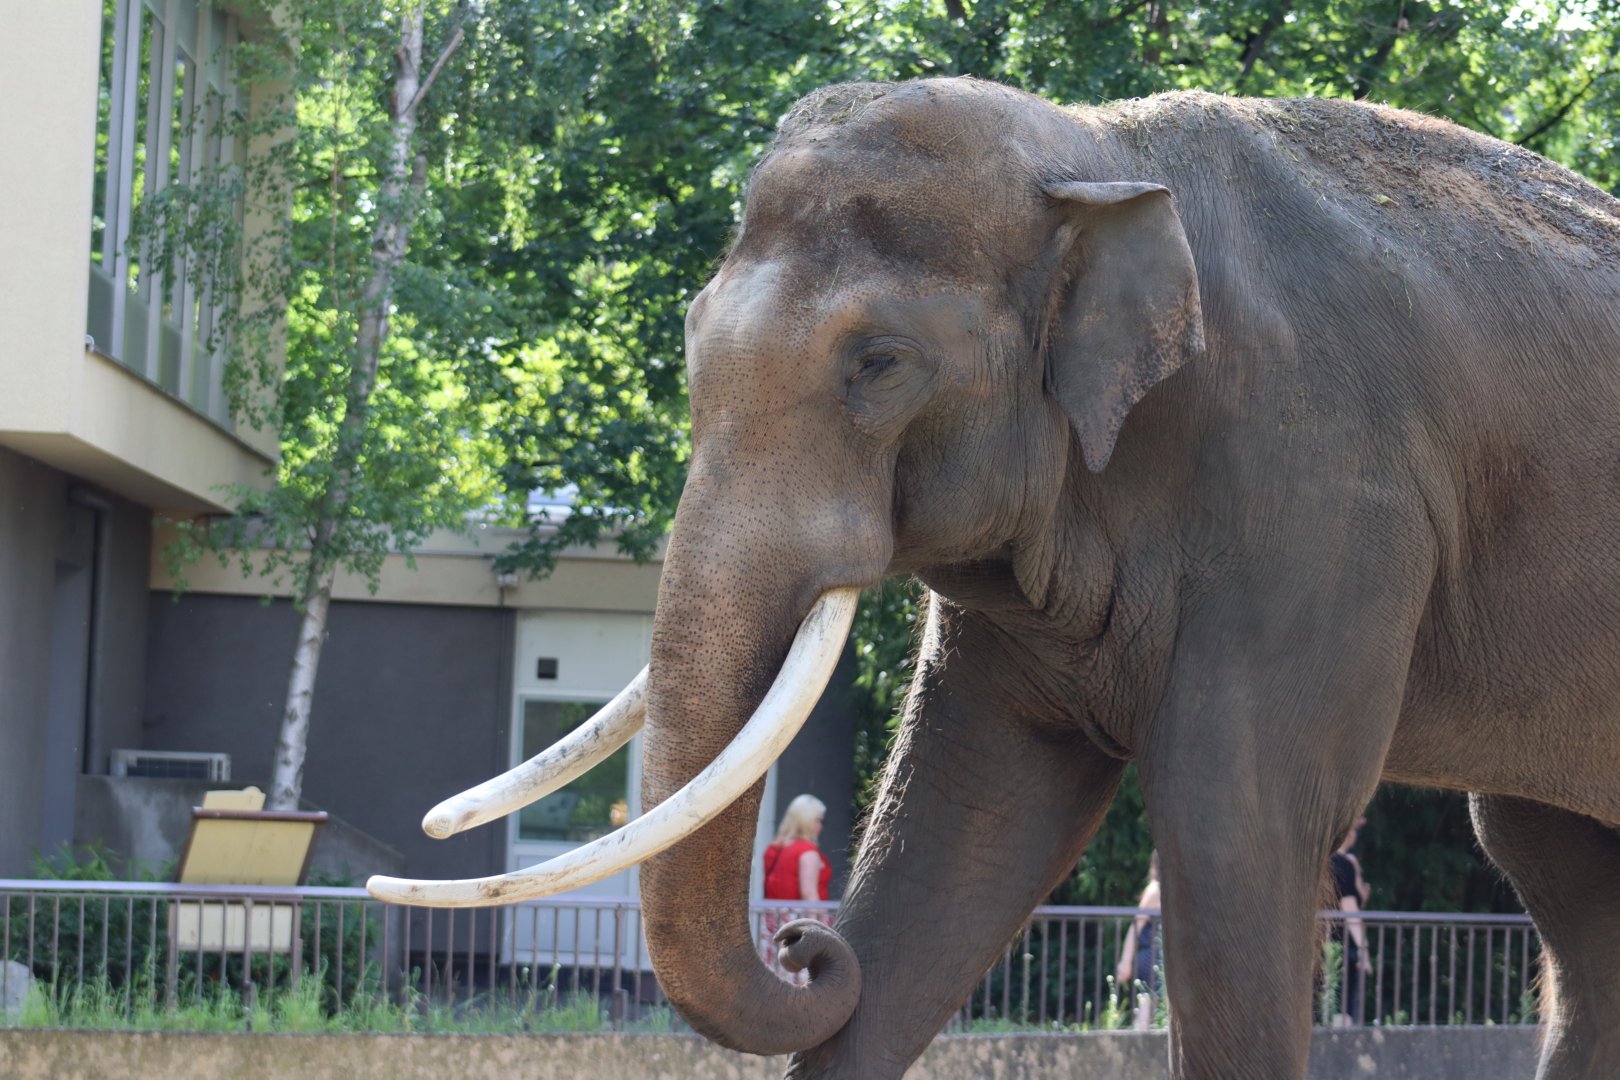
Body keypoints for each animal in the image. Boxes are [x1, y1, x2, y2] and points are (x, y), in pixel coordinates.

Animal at [371, 77, 1620, 1080]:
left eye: (878, 364)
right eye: (686, 337)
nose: (805, 943)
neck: (1100, 152)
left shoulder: (1323, 491)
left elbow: (1238, 816)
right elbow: (973, 806)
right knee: (1561, 875)